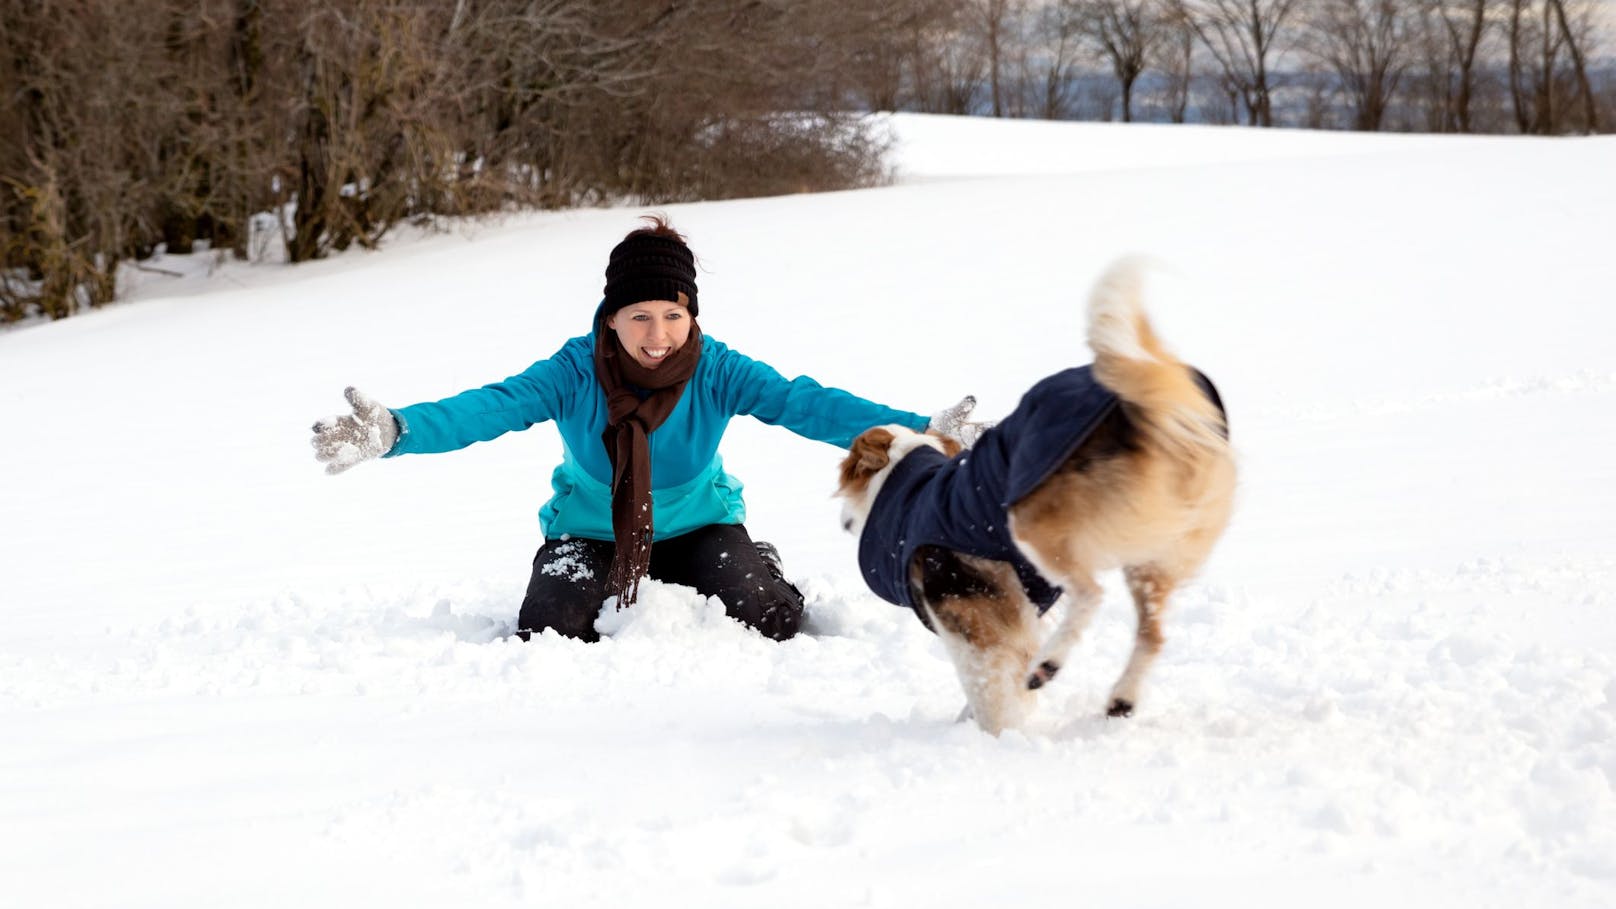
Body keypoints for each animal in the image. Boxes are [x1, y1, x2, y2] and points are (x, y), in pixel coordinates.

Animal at [840, 258, 1228, 731]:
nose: (843, 521)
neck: (909, 482)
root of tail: (1141, 406)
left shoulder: (971, 623)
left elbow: (988, 689)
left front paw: (997, 732)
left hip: (1034, 526)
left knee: (1091, 594)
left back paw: (1049, 665)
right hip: (1155, 554)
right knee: (1152, 632)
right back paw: (1119, 698)